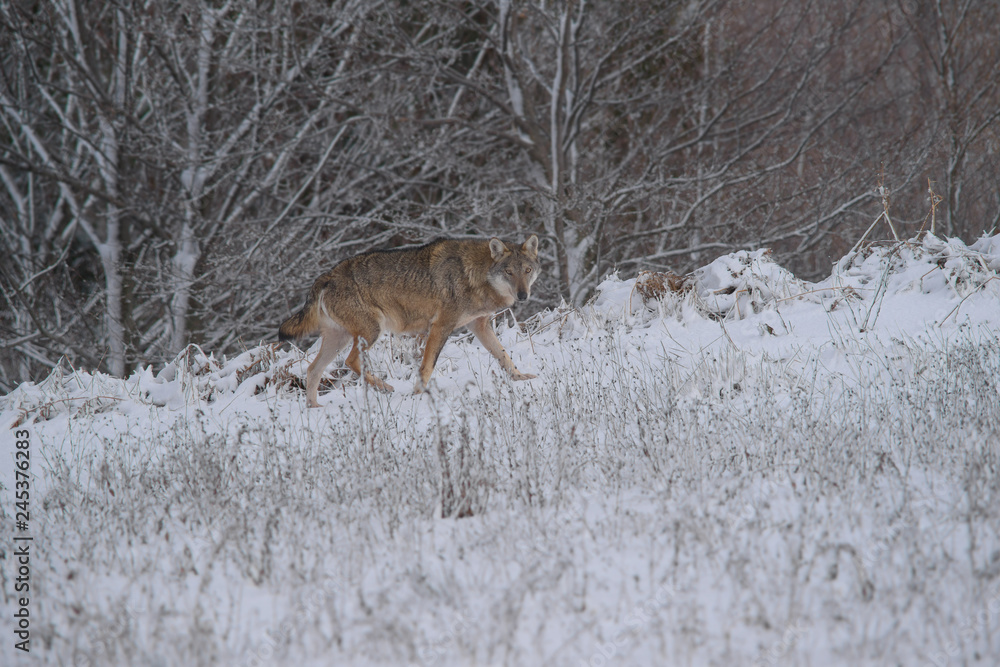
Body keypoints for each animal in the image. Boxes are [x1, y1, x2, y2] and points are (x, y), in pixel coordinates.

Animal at [278, 234, 544, 408]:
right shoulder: (440, 327)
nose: (523, 295)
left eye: (527, 271)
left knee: (313, 370)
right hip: (371, 332)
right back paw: (384, 387)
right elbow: (426, 366)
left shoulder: (479, 326)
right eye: (509, 272)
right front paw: (419, 393)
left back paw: (314, 407)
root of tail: (327, 275)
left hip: (340, 338)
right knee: (350, 361)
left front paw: (520, 378)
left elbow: (503, 355)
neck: (474, 274)